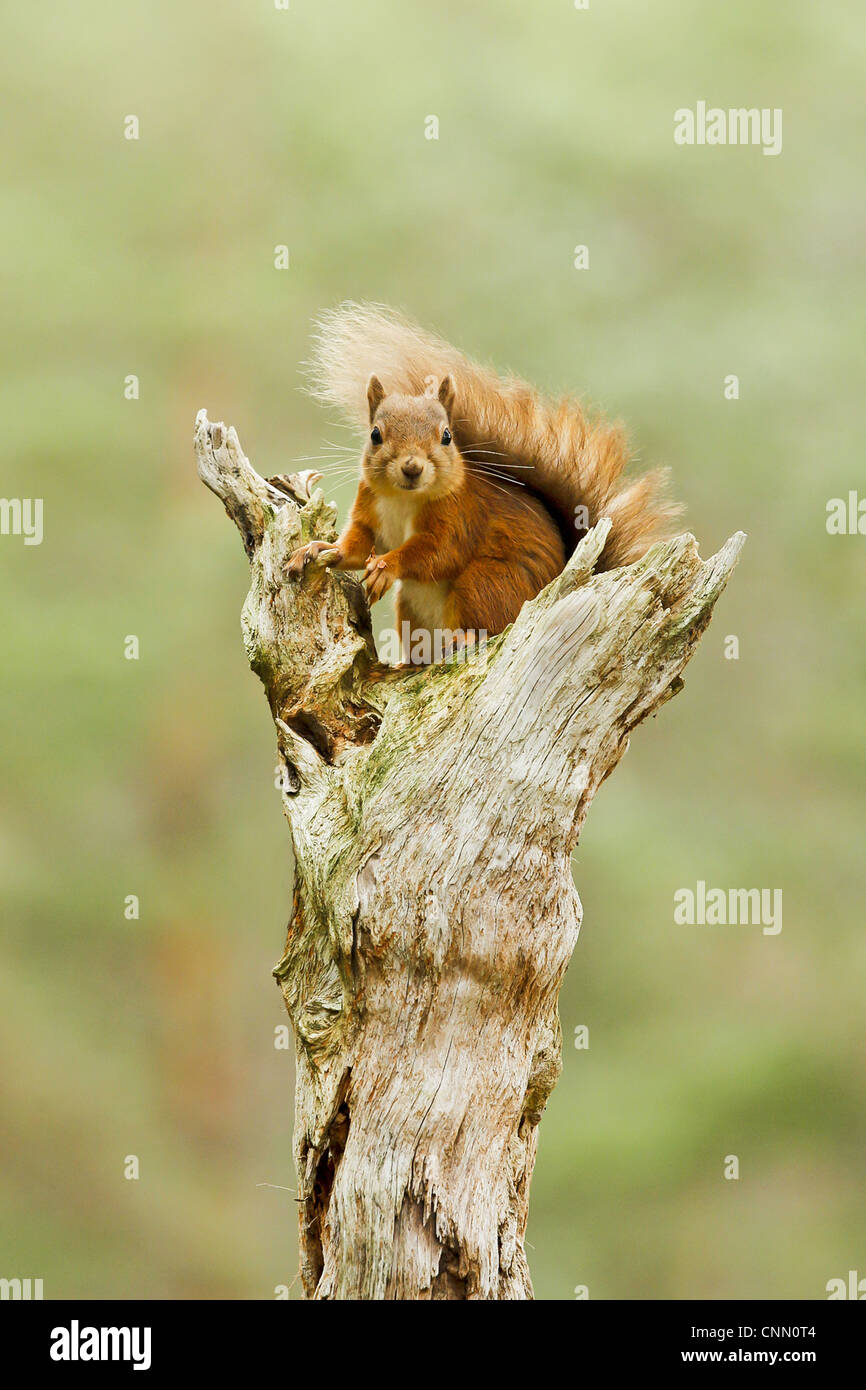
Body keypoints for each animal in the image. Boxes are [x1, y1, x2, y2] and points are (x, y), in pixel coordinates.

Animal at [287, 303, 681, 667]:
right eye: (375, 434)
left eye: (446, 436)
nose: (412, 467)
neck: (403, 499)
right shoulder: (370, 511)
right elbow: (356, 547)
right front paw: (318, 549)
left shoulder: (462, 515)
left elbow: (438, 552)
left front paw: (386, 566)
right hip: (413, 611)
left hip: (485, 583)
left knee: (487, 624)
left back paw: (462, 638)